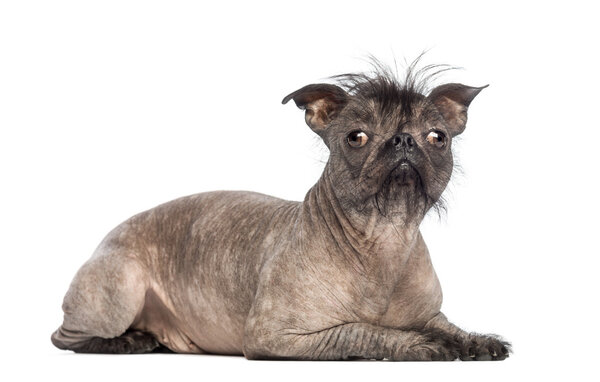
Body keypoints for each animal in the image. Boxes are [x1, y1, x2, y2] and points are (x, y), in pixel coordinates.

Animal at [52, 58, 510, 360]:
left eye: (437, 137)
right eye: (357, 137)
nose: (403, 140)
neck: (385, 238)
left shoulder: (431, 312)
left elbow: (449, 326)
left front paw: (475, 340)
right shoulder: (275, 337)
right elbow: (361, 331)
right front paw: (419, 343)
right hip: (121, 286)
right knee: (64, 338)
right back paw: (127, 342)